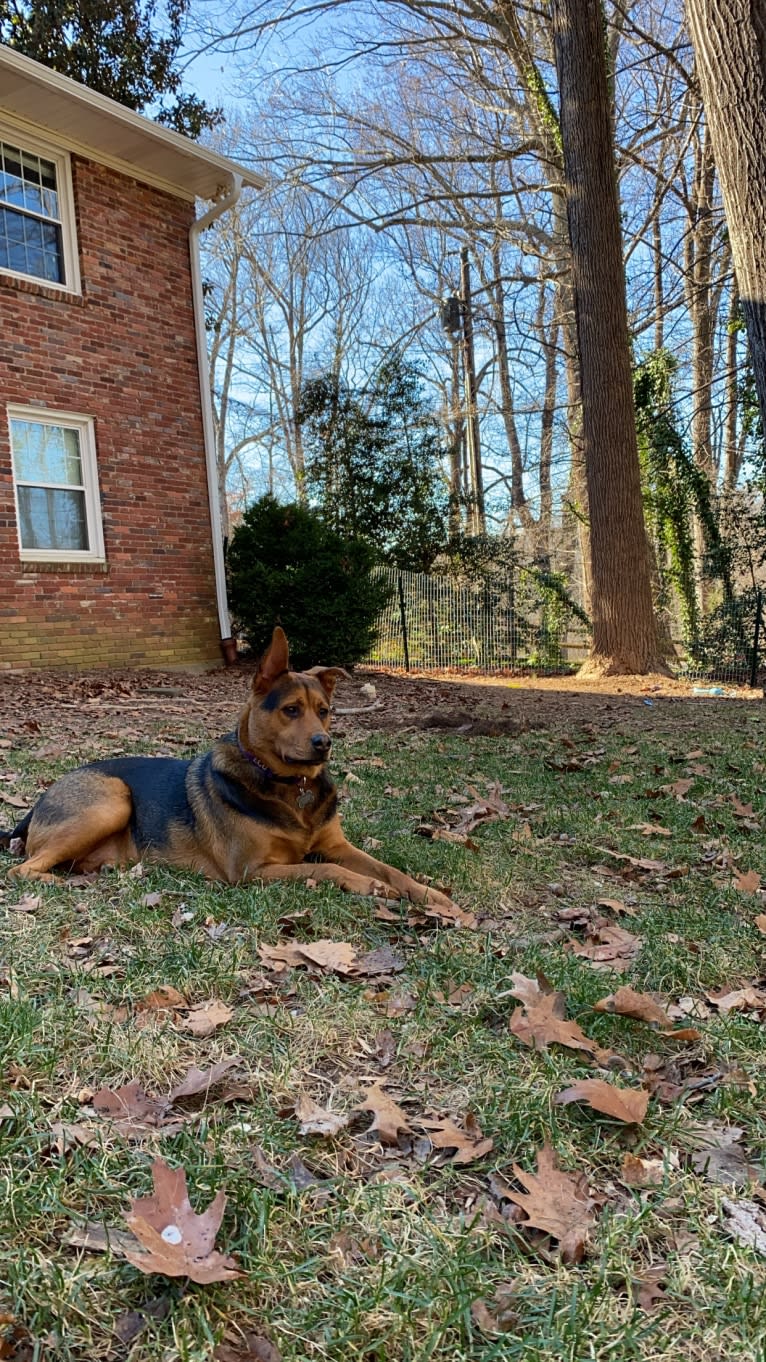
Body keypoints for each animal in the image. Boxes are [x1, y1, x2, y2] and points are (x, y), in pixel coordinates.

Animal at [0, 629, 452, 915]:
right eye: (291, 710)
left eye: (324, 711)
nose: (324, 743)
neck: (290, 786)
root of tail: (37, 802)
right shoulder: (252, 871)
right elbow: (324, 868)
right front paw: (370, 887)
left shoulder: (338, 845)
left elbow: (387, 867)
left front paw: (429, 893)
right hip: (111, 800)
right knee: (21, 869)